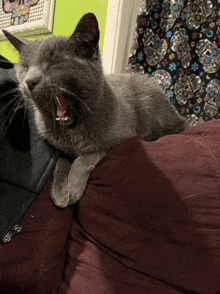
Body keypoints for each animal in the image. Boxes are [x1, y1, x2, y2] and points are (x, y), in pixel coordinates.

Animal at [2, 13, 188, 207]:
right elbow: (60, 164)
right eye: (25, 67)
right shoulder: (61, 149)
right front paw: (60, 195)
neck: (72, 133)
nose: (29, 81)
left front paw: (73, 189)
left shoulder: (120, 139)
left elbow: (84, 158)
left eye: (54, 64)